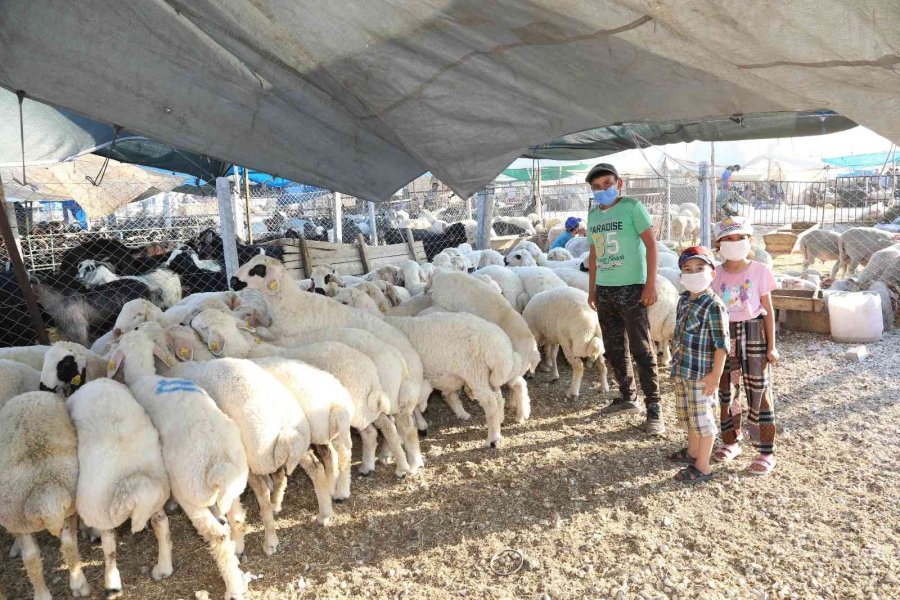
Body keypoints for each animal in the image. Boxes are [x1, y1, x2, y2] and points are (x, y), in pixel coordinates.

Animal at [0, 392, 90, 600]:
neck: (42, 484)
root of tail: (28, 394)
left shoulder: (69, 512)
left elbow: (69, 546)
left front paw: (78, 582)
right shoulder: (20, 525)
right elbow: (31, 560)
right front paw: (41, 593)